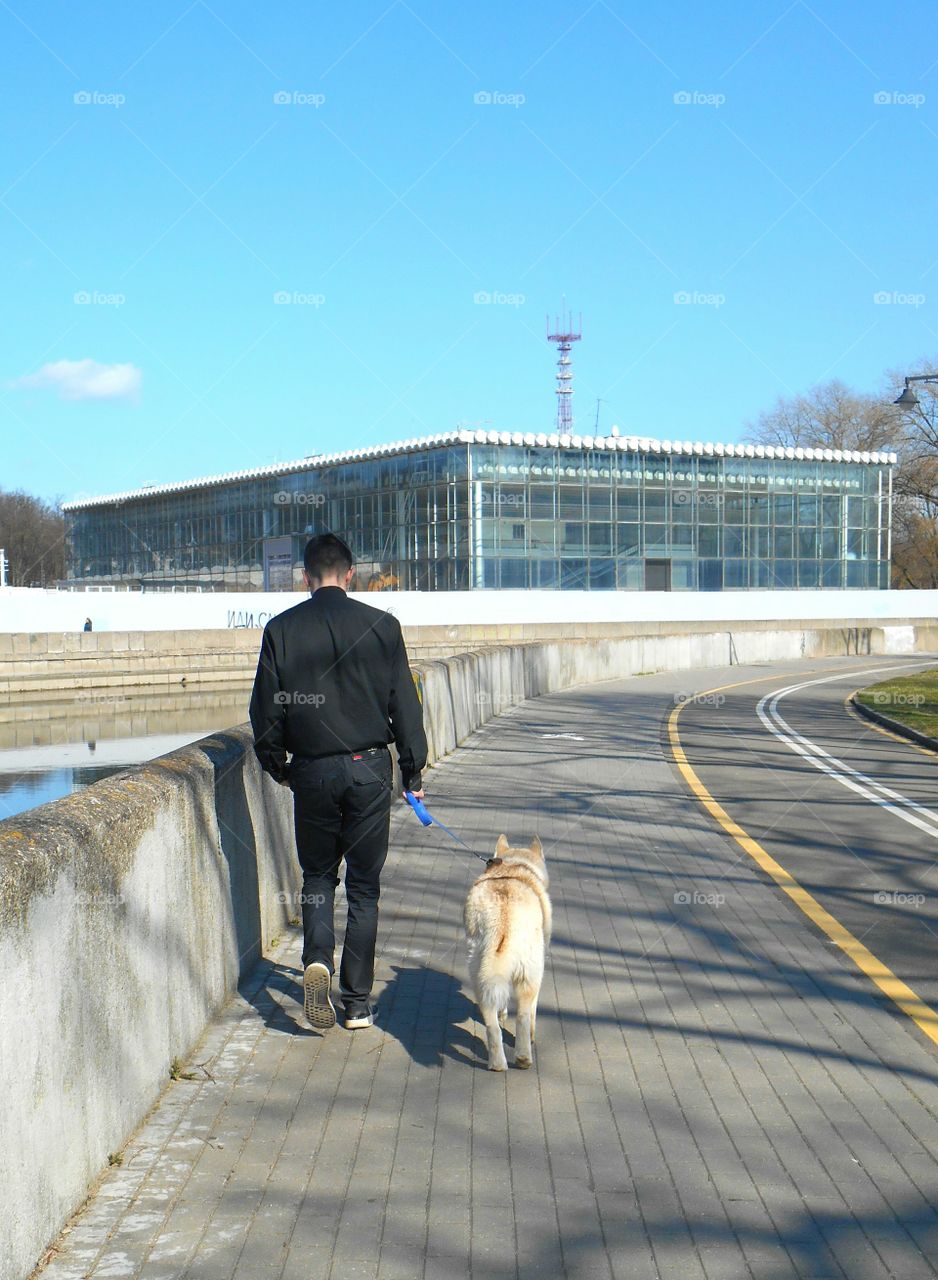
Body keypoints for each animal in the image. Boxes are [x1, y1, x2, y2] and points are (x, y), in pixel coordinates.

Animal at [460, 829, 547, 1070]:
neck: (511, 866)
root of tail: (502, 921)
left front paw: (503, 1015)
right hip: (533, 972)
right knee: (525, 1016)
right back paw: (523, 1053)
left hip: (481, 975)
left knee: (494, 1025)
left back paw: (503, 1062)